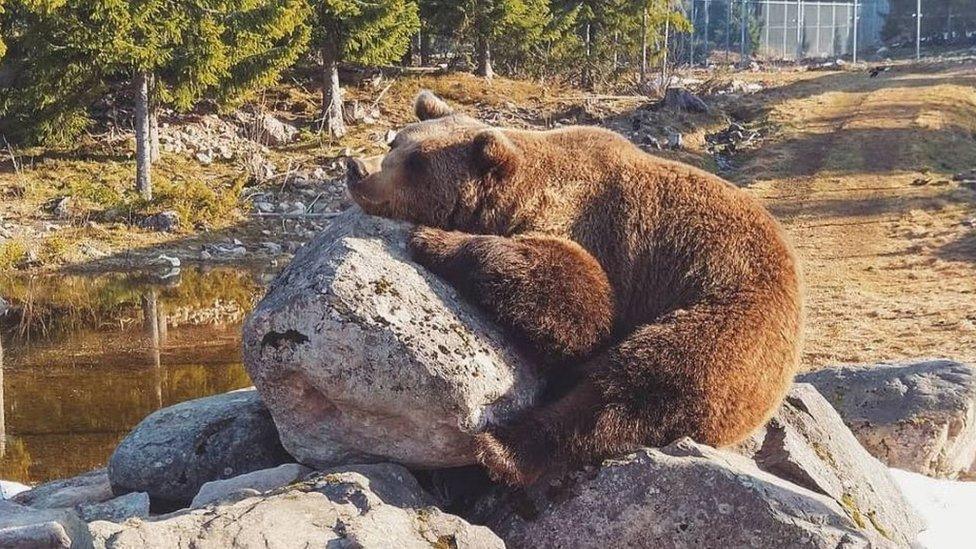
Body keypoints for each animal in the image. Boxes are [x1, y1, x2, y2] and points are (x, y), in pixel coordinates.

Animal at [346, 92, 804, 486]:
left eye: (415, 162)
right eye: (396, 141)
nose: (357, 167)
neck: (517, 197)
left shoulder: (592, 227)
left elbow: (584, 304)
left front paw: (434, 239)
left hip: (731, 321)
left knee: (640, 385)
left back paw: (504, 449)